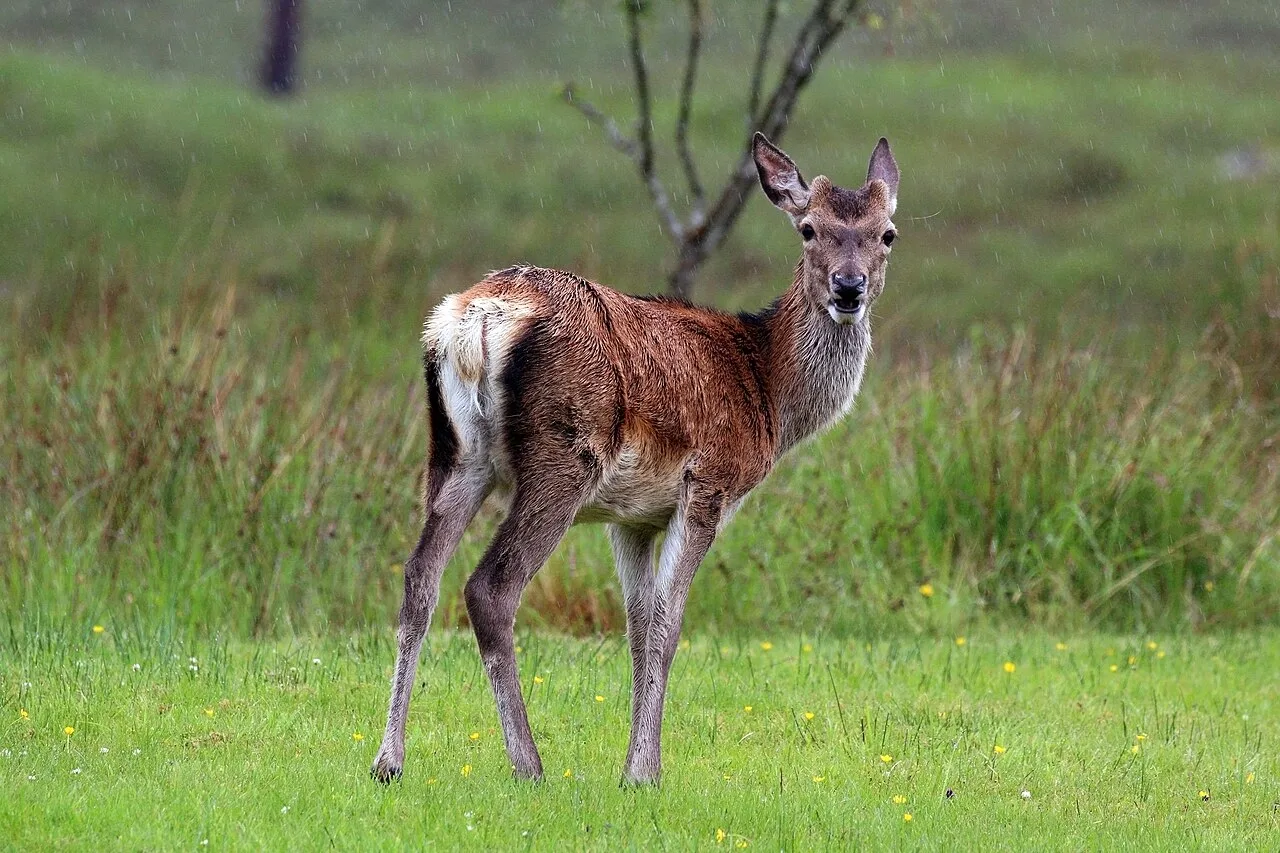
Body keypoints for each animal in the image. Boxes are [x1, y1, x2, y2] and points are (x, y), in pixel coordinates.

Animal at [372, 132, 899, 786]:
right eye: (808, 228)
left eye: (886, 233)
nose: (849, 288)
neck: (768, 394)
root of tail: (476, 321)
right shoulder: (709, 483)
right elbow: (669, 626)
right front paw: (644, 771)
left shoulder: (633, 518)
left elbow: (638, 627)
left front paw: (634, 761)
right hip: (563, 457)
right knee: (490, 587)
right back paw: (529, 764)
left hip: (456, 454)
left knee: (419, 577)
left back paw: (388, 760)